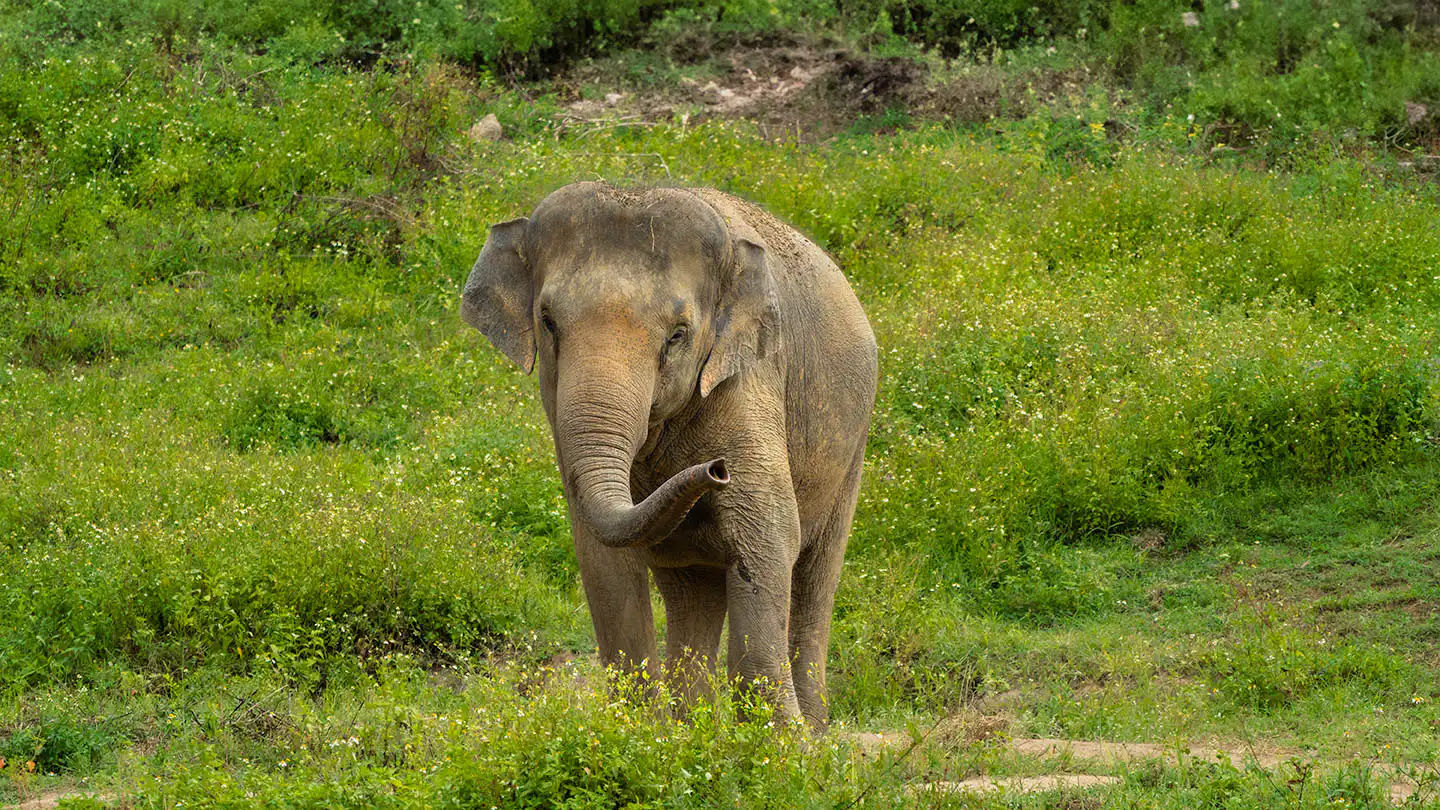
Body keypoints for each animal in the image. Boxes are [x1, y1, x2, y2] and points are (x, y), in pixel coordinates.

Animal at [460, 182, 876, 729]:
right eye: (547, 323)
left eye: (678, 335)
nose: (715, 471)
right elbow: (603, 562)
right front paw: (641, 733)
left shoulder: (748, 378)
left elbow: (767, 533)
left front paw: (783, 744)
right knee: (692, 592)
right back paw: (691, 727)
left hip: (853, 448)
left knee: (814, 578)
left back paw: (816, 731)